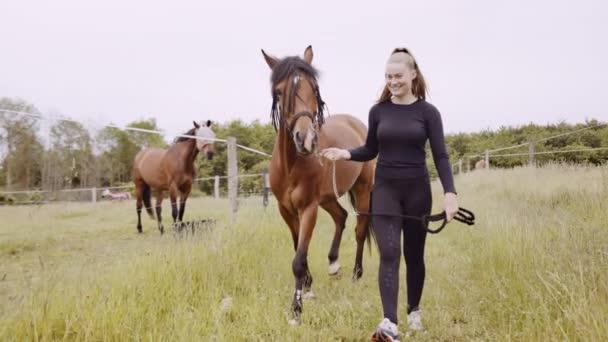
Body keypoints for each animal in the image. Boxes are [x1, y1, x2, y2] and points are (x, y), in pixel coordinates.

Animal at [262, 45, 376, 324]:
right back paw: (334, 265)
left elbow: (298, 259)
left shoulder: (308, 208)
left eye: (314, 88)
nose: (306, 139)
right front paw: (308, 289)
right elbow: (297, 250)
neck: (292, 164)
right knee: (341, 216)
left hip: (362, 190)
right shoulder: (287, 210)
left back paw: (356, 274)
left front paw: (296, 310)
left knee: (359, 228)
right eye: (279, 91)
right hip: (327, 198)